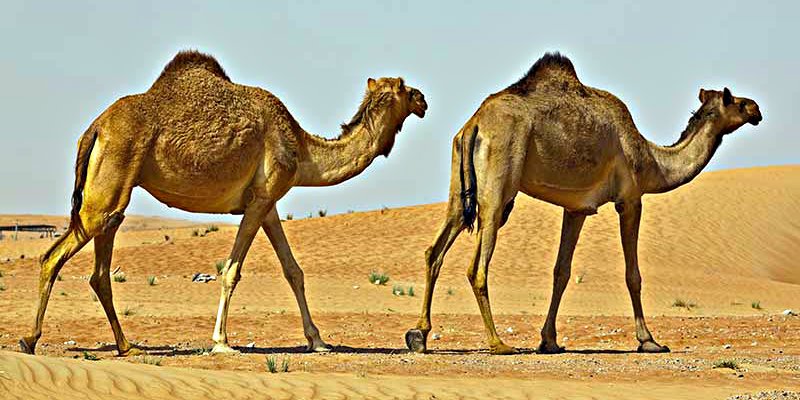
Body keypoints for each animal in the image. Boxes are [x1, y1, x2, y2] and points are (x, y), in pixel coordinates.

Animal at [20, 50, 427, 356]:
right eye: (406, 88)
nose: (423, 99)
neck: (301, 148)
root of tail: (96, 127)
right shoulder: (261, 199)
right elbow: (232, 270)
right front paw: (221, 342)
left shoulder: (268, 201)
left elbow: (293, 270)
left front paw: (318, 341)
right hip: (108, 186)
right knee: (53, 256)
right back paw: (30, 339)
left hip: (114, 195)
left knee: (99, 272)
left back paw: (126, 346)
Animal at [405, 52, 762, 355]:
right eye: (736, 100)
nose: (757, 109)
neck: (650, 160)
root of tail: (474, 124)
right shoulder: (630, 198)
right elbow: (633, 274)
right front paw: (649, 341)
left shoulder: (576, 209)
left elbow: (561, 272)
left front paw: (549, 341)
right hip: (498, 187)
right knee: (477, 266)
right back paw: (498, 343)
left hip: (459, 181)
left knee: (435, 249)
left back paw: (419, 335)